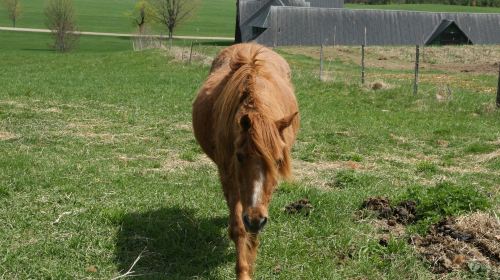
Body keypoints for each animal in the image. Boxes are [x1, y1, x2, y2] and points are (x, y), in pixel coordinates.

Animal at [193, 42, 298, 278]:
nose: (254, 219)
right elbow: (239, 229)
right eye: (239, 156)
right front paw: (243, 271)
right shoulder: (229, 177)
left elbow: (254, 230)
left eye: (278, 160)